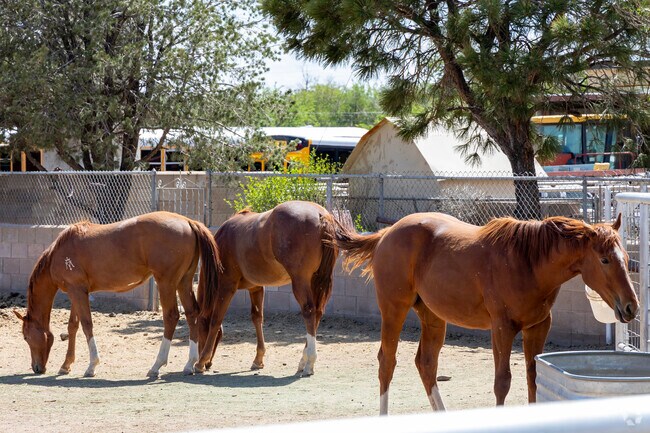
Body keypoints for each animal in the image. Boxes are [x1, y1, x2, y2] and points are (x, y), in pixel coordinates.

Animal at [13, 211, 219, 377]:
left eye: (25, 337)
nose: (37, 368)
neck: (59, 252)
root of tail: (188, 221)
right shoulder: (76, 292)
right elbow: (73, 326)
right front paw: (66, 365)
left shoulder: (77, 291)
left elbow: (87, 324)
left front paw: (91, 366)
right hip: (183, 282)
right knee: (192, 313)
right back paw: (190, 364)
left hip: (166, 283)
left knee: (171, 316)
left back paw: (156, 366)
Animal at [195, 200, 347, 376]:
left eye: (200, 329)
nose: (208, 364)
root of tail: (321, 215)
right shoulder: (256, 288)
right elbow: (257, 318)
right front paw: (258, 360)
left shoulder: (226, 287)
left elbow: (215, 319)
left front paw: (200, 361)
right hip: (316, 280)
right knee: (318, 312)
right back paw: (303, 361)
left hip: (300, 281)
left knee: (309, 311)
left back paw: (309, 363)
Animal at [334, 212, 639, 414]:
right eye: (604, 259)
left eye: (625, 257)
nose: (631, 306)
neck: (528, 262)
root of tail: (386, 234)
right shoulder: (502, 328)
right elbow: (502, 382)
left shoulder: (538, 327)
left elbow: (533, 378)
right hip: (393, 309)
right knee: (387, 361)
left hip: (433, 316)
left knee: (426, 364)